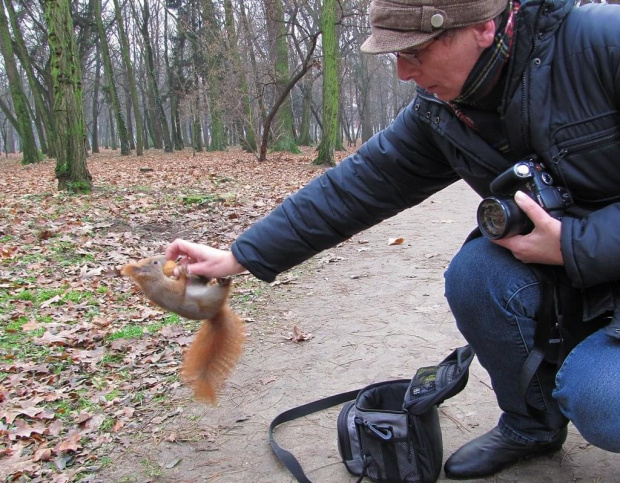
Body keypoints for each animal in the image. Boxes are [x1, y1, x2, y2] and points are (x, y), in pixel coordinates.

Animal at [121, 258, 245, 404]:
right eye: (155, 262)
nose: (165, 258)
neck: (154, 280)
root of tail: (215, 313)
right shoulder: (168, 290)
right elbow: (181, 287)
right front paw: (183, 273)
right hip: (211, 297)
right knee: (222, 290)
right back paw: (224, 282)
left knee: (202, 281)